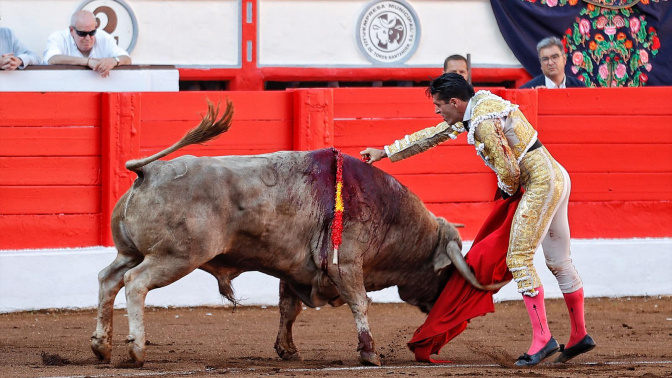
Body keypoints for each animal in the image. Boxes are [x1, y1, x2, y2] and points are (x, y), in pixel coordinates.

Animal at [88, 99, 498, 366]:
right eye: (447, 270)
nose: (439, 304)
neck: (389, 212)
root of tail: (149, 171)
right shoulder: (346, 264)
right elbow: (360, 303)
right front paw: (369, 353)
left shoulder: (294, 269)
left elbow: (288, 308)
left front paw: (287, 350)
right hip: (175, 257)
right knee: (135, 283)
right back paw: (136, 350)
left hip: (129, 252)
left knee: (109, 279)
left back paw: (101, 347)